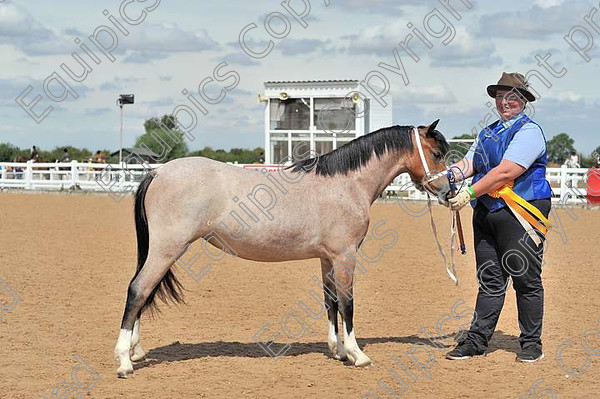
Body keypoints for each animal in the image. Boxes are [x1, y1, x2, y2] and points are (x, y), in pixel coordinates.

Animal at [112, 121, 450, 378]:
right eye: (436, 153)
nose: (449, 190)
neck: (345, 184)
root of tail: (158, 172)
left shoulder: (327, 259)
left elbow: (330, 302)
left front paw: (338, 351)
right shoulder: (345, 256)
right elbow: (347, 303)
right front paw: (358, 354)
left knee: (143, 291)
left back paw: (136, 351)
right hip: (166, 249)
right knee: (138, 290)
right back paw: (125, 361)